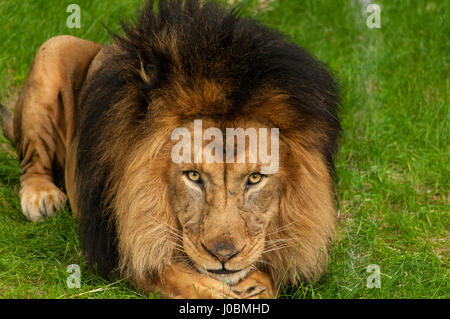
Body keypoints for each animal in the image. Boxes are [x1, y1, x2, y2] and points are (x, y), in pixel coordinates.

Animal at [0, 0, 340, 300]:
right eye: (193, 176)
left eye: (255, 178)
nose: (224, 255)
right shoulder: (121, 242)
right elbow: (168, 272)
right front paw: (213, 289)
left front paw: (258, 283)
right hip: (53, 48)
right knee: (32, 161)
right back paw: (41, 197)